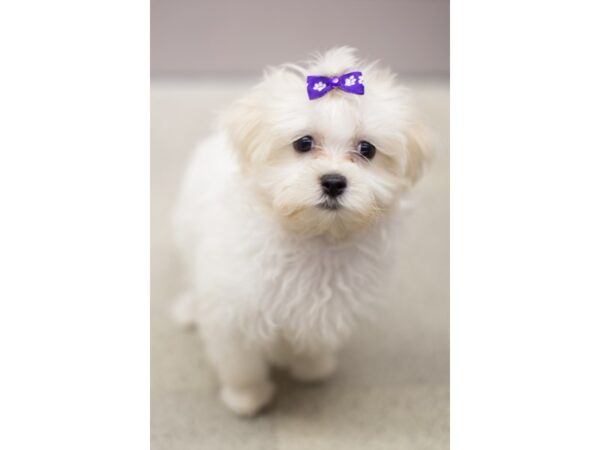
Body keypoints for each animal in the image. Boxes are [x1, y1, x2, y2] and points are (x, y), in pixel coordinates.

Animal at [171, 47, 428, 416]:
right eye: (303, 143)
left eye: (366, 149)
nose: (334, 181)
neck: (315, 238)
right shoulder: (234, 311)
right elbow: (241, 360)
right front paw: (246, 397)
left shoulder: (325, 307)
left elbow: (312, 341)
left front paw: (313, 367)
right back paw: (189, 308)